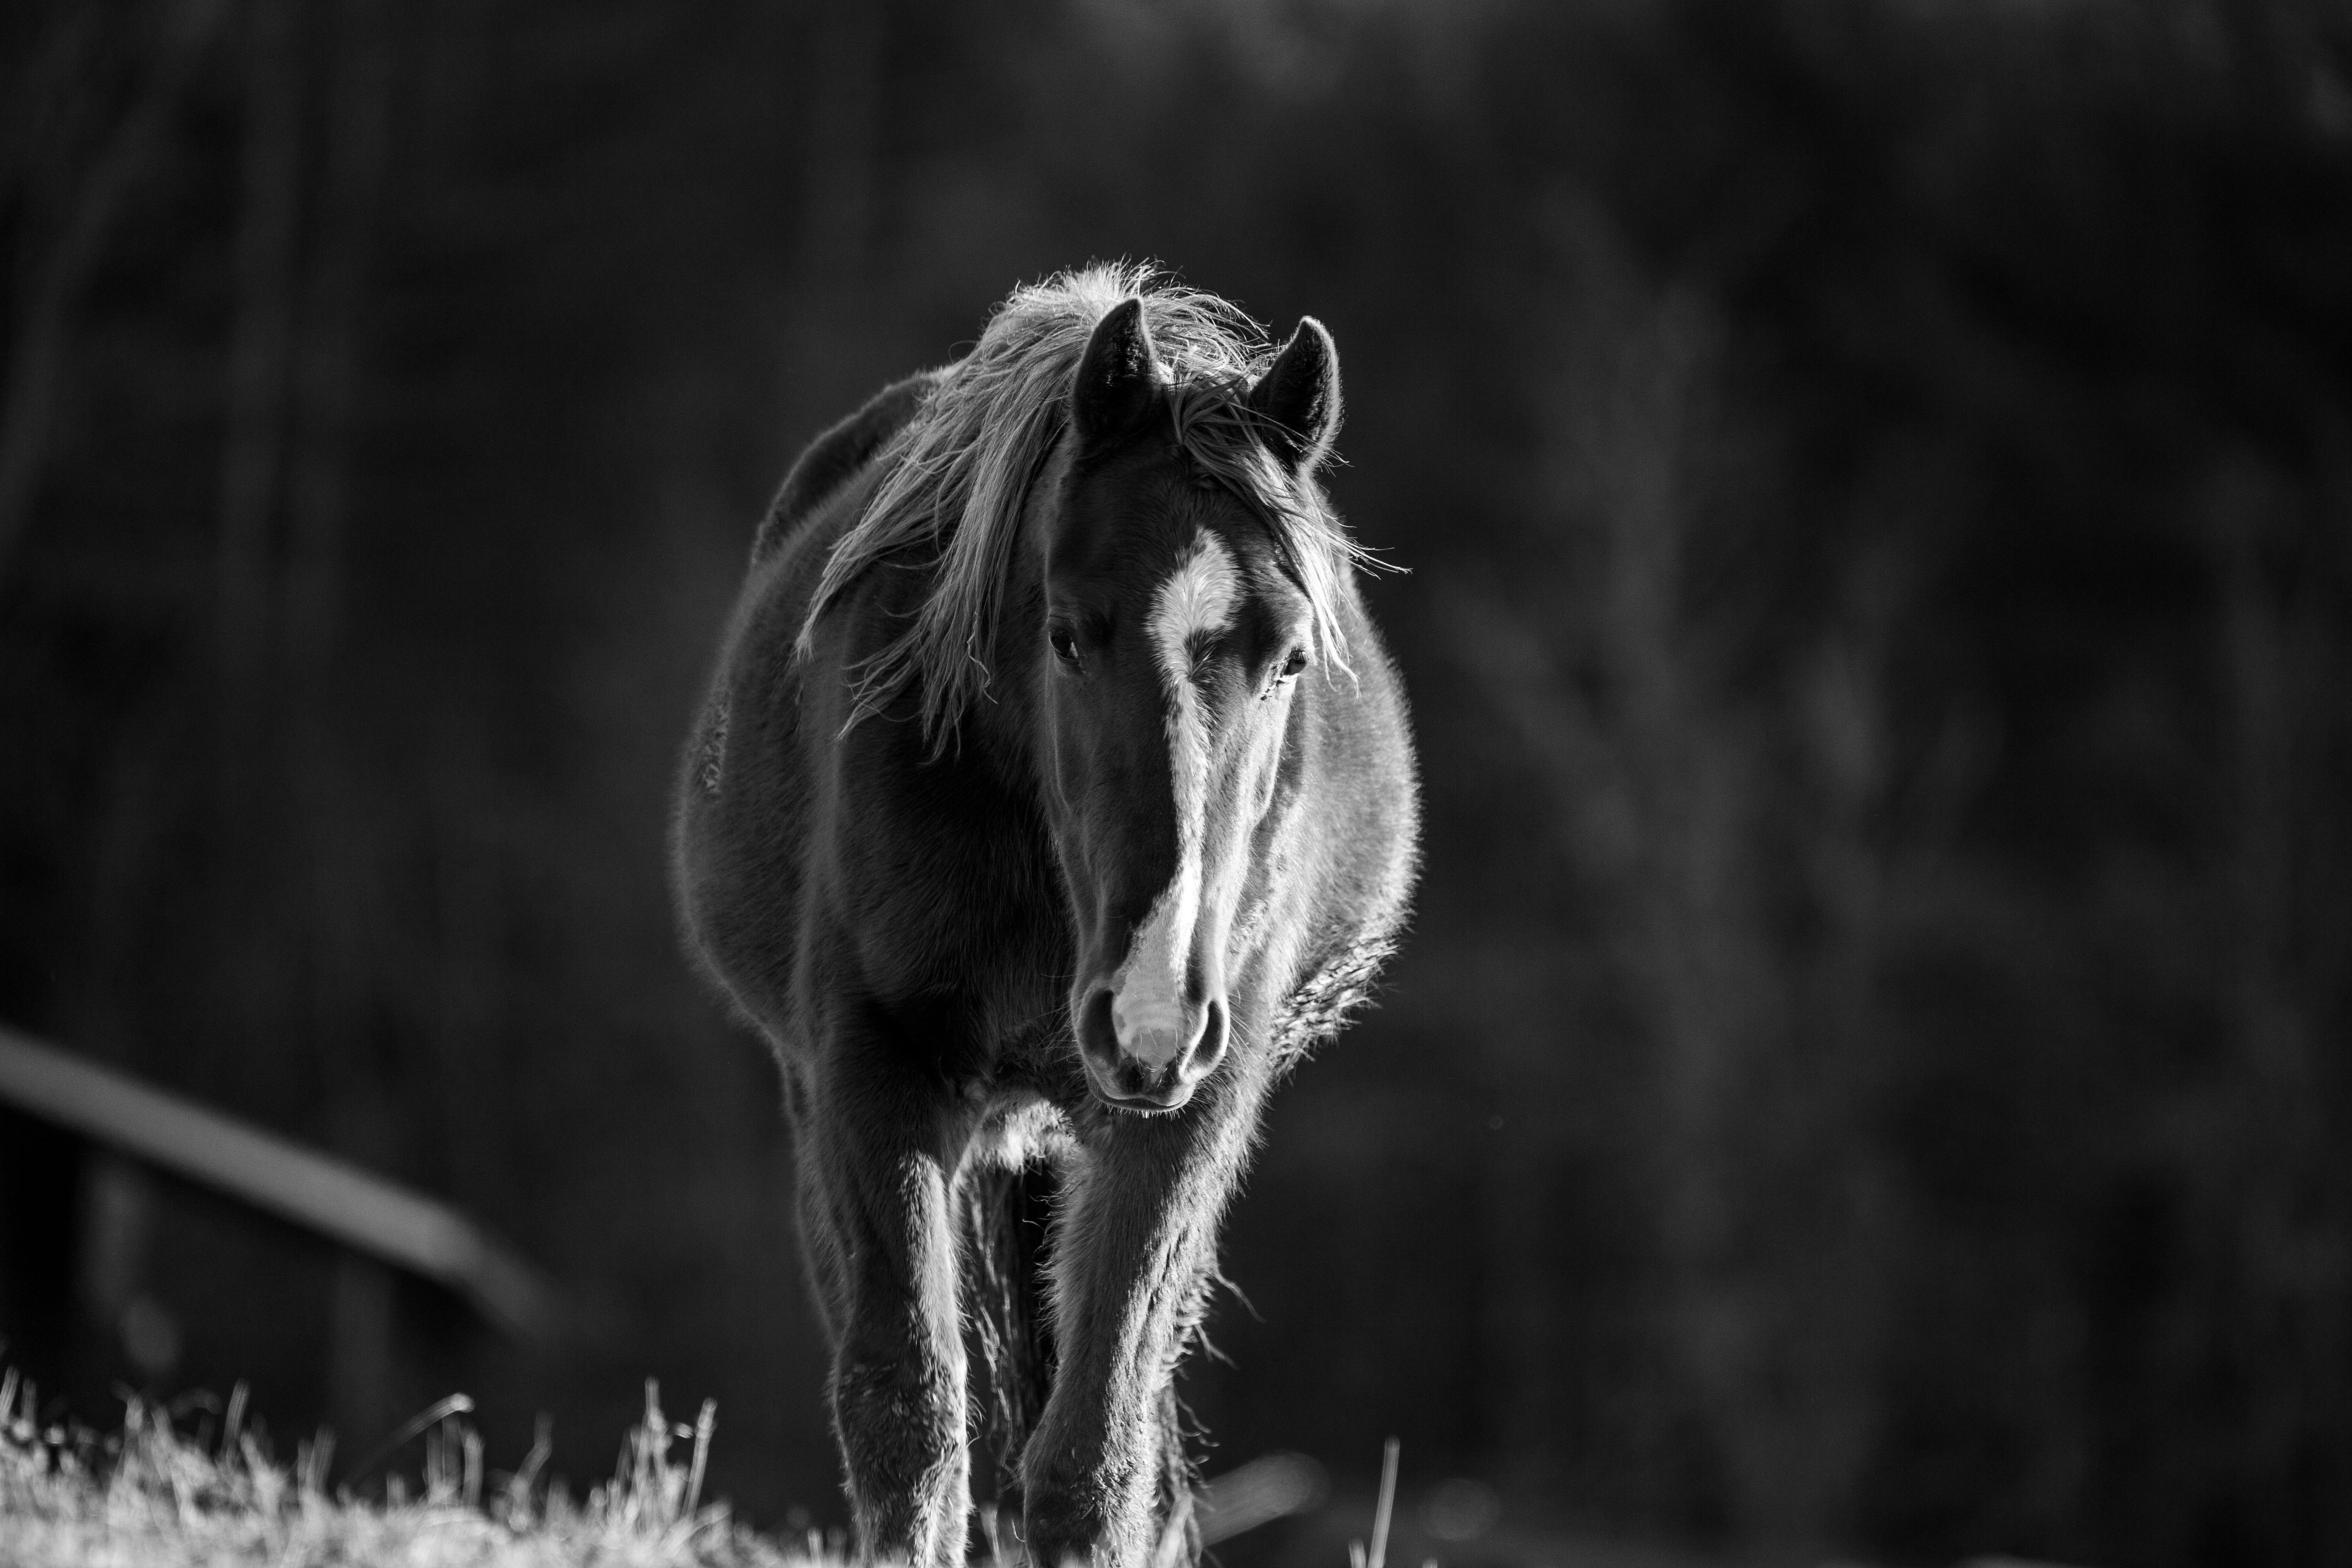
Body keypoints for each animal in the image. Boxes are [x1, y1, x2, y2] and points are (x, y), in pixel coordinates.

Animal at [671, 264, 1420, 1568]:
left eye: (1287, 660)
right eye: (1067, 634)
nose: (1151, 1010)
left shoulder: (1187, 1112)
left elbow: (1093, 1450)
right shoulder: (874, 1074)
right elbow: (910, 1415)